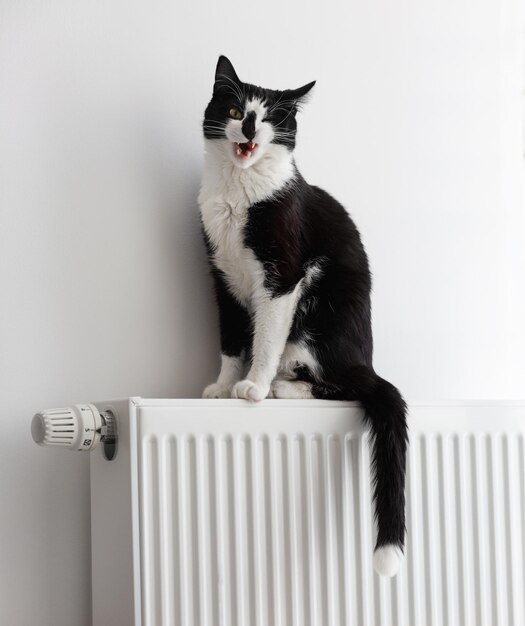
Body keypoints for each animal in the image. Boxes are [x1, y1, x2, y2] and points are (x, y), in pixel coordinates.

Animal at [199, 54, 408, 576]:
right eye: (234, 109)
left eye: (271, 118)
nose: (249, 127)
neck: (239, 192)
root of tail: (366, 361)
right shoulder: (219, 272)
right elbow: (231, 335)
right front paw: (222, 385)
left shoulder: (286, 271)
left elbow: (266, 335)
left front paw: (251, 386)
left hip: (324, 318)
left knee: (345, 387)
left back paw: (280, 386)